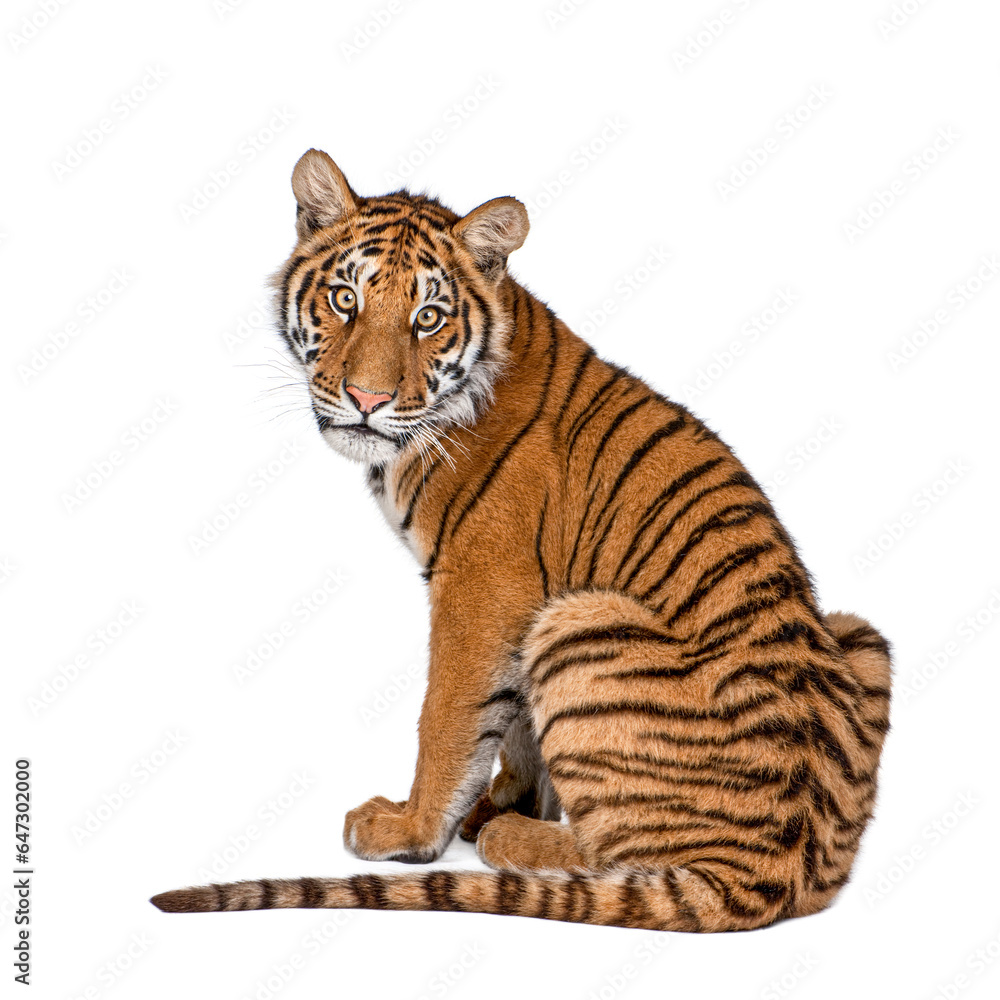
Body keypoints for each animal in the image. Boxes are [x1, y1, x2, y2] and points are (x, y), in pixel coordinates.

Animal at [151, 148, 892, 932]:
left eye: (428, 318)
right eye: (345, 300)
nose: (367, 400)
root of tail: (781, 872)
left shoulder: (485, 586)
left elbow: (448, 719)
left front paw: (414, 829)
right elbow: (510, 725)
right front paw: (500, 799)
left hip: (581, 619)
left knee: (617, 850)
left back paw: (514, 839)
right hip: (855, 633)